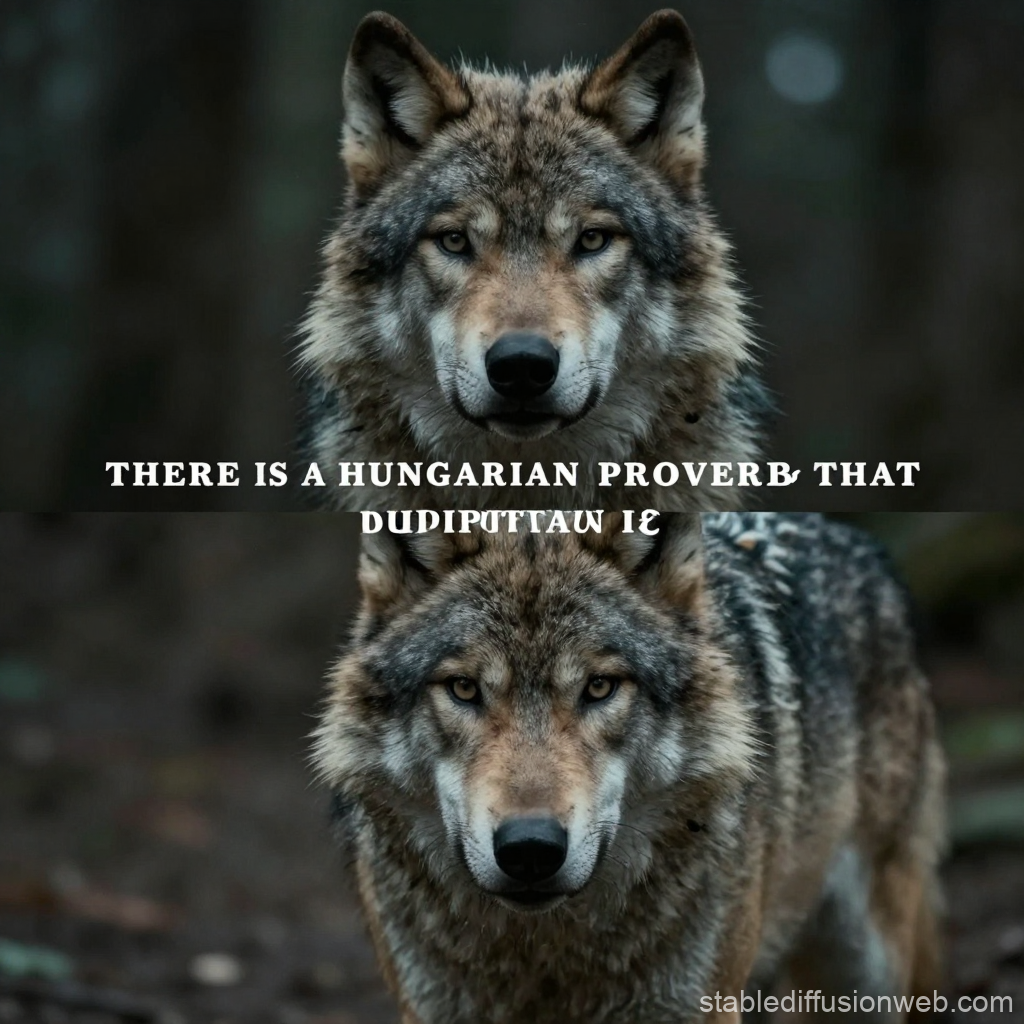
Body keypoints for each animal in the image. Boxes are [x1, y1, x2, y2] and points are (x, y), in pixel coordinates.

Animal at [313, 513, 946, 1023]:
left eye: (600, 687)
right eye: (465, 689)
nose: (530, 849)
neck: (546, 953)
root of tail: (853, 538)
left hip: (866, 971)